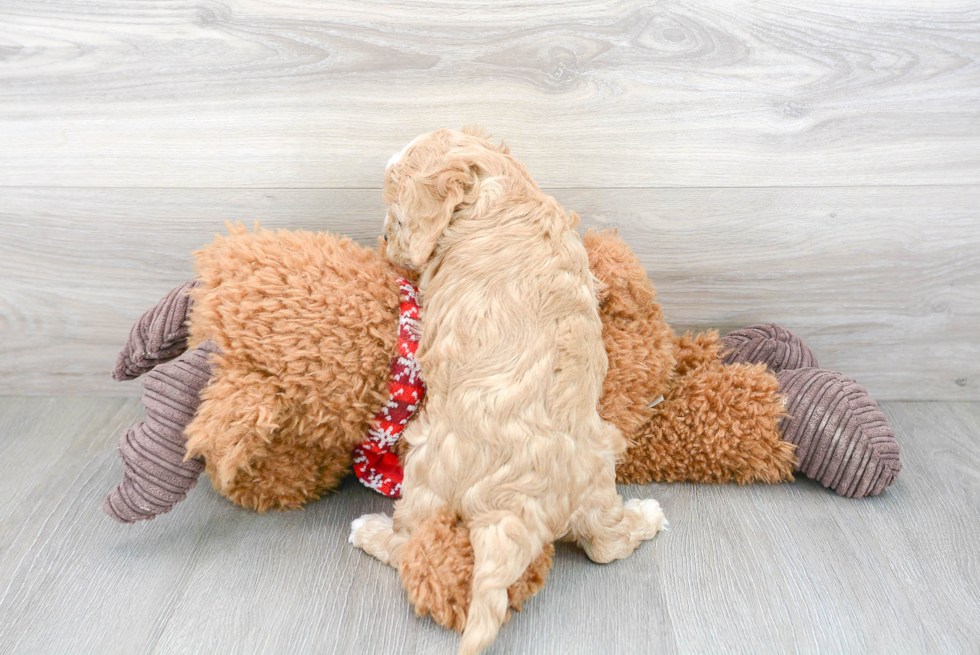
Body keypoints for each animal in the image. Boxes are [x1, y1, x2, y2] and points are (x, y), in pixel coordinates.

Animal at [348, 129, 664, 655]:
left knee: (411, 541)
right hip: (599, 466)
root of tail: (517, 511)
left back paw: (369, 531)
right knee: (605, 544)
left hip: (424, 468)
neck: (496, 191)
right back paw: (648, 517)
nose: (387, 244)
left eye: (397, 213)